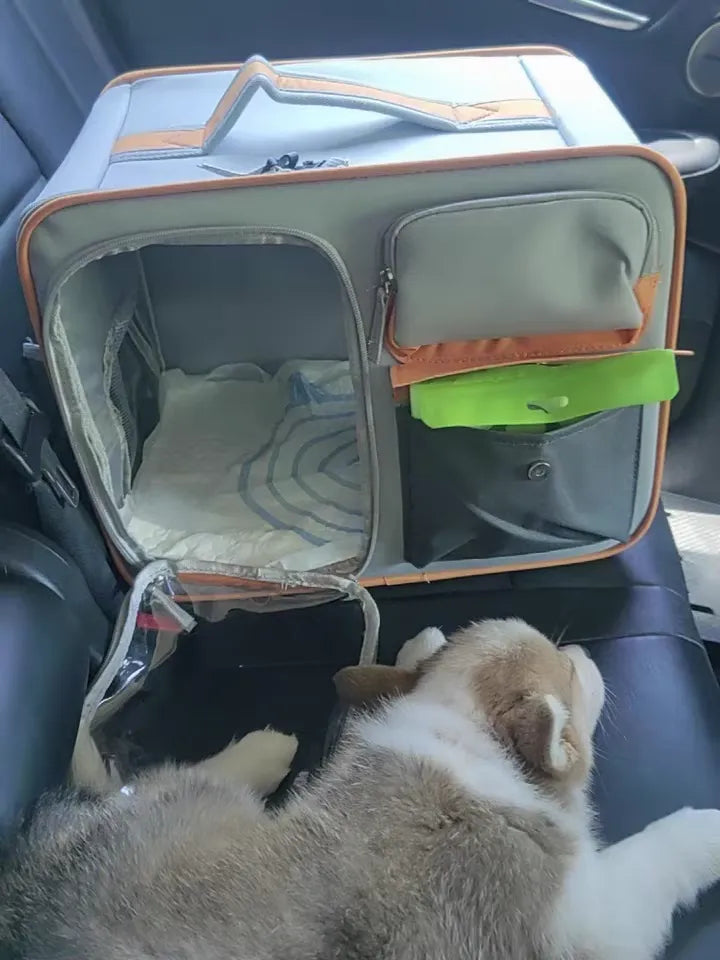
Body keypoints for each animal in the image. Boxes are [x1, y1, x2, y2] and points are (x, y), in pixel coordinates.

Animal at [2, 618, 720, 959]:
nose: (587, 655)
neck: (464, 738)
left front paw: (420, 644)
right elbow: (659, 850)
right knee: (169, 781)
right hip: (193, 805)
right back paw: (263, 751)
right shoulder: (593, 917)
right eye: (568, 671)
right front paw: (706, 828)